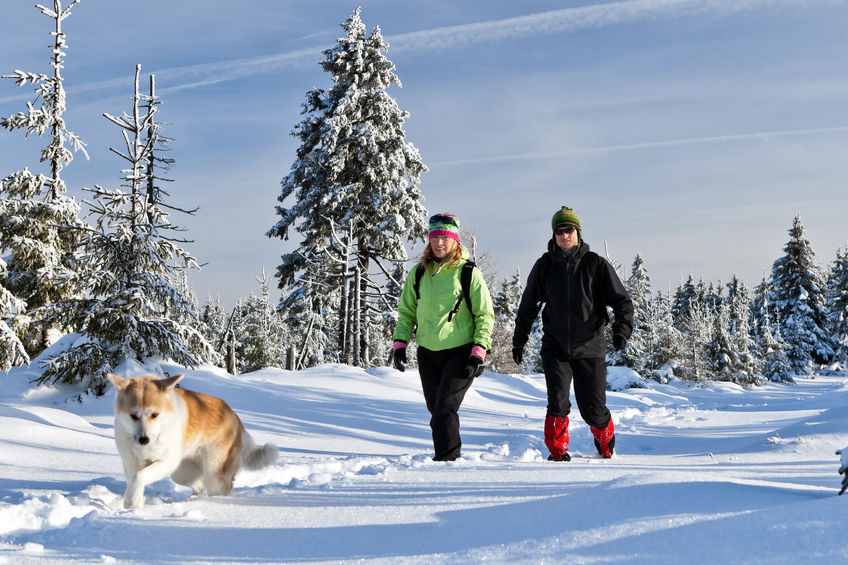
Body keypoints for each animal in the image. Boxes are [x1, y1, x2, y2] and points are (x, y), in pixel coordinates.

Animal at [107, 372, 276, 508]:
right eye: (133, 416)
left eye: (154, 415)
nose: (144, 439)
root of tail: (235, 418)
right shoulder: (131, 464)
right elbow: (134, 481)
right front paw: (134, 505)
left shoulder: (166, 462)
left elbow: (139, 477)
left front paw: (131, 503)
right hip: (183, 472)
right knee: (199, 486)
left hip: (214, 473)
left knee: (219, 489)